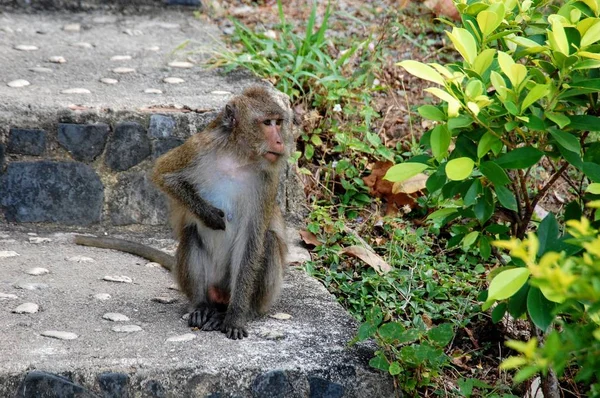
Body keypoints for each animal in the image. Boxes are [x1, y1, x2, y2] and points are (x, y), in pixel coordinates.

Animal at [75, 85, 290, 340]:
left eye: (278, 122)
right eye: (267, 123)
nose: (279, 141)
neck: (237, 156)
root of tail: (219, 295)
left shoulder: (268, 181)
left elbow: (252, 242)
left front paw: (237, 316)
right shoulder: (199, 146)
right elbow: (163, 174)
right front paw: (207, 214)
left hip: (258, 294)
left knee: (268, 241)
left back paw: (234, 312)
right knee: (191, 233)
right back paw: (200, 306)